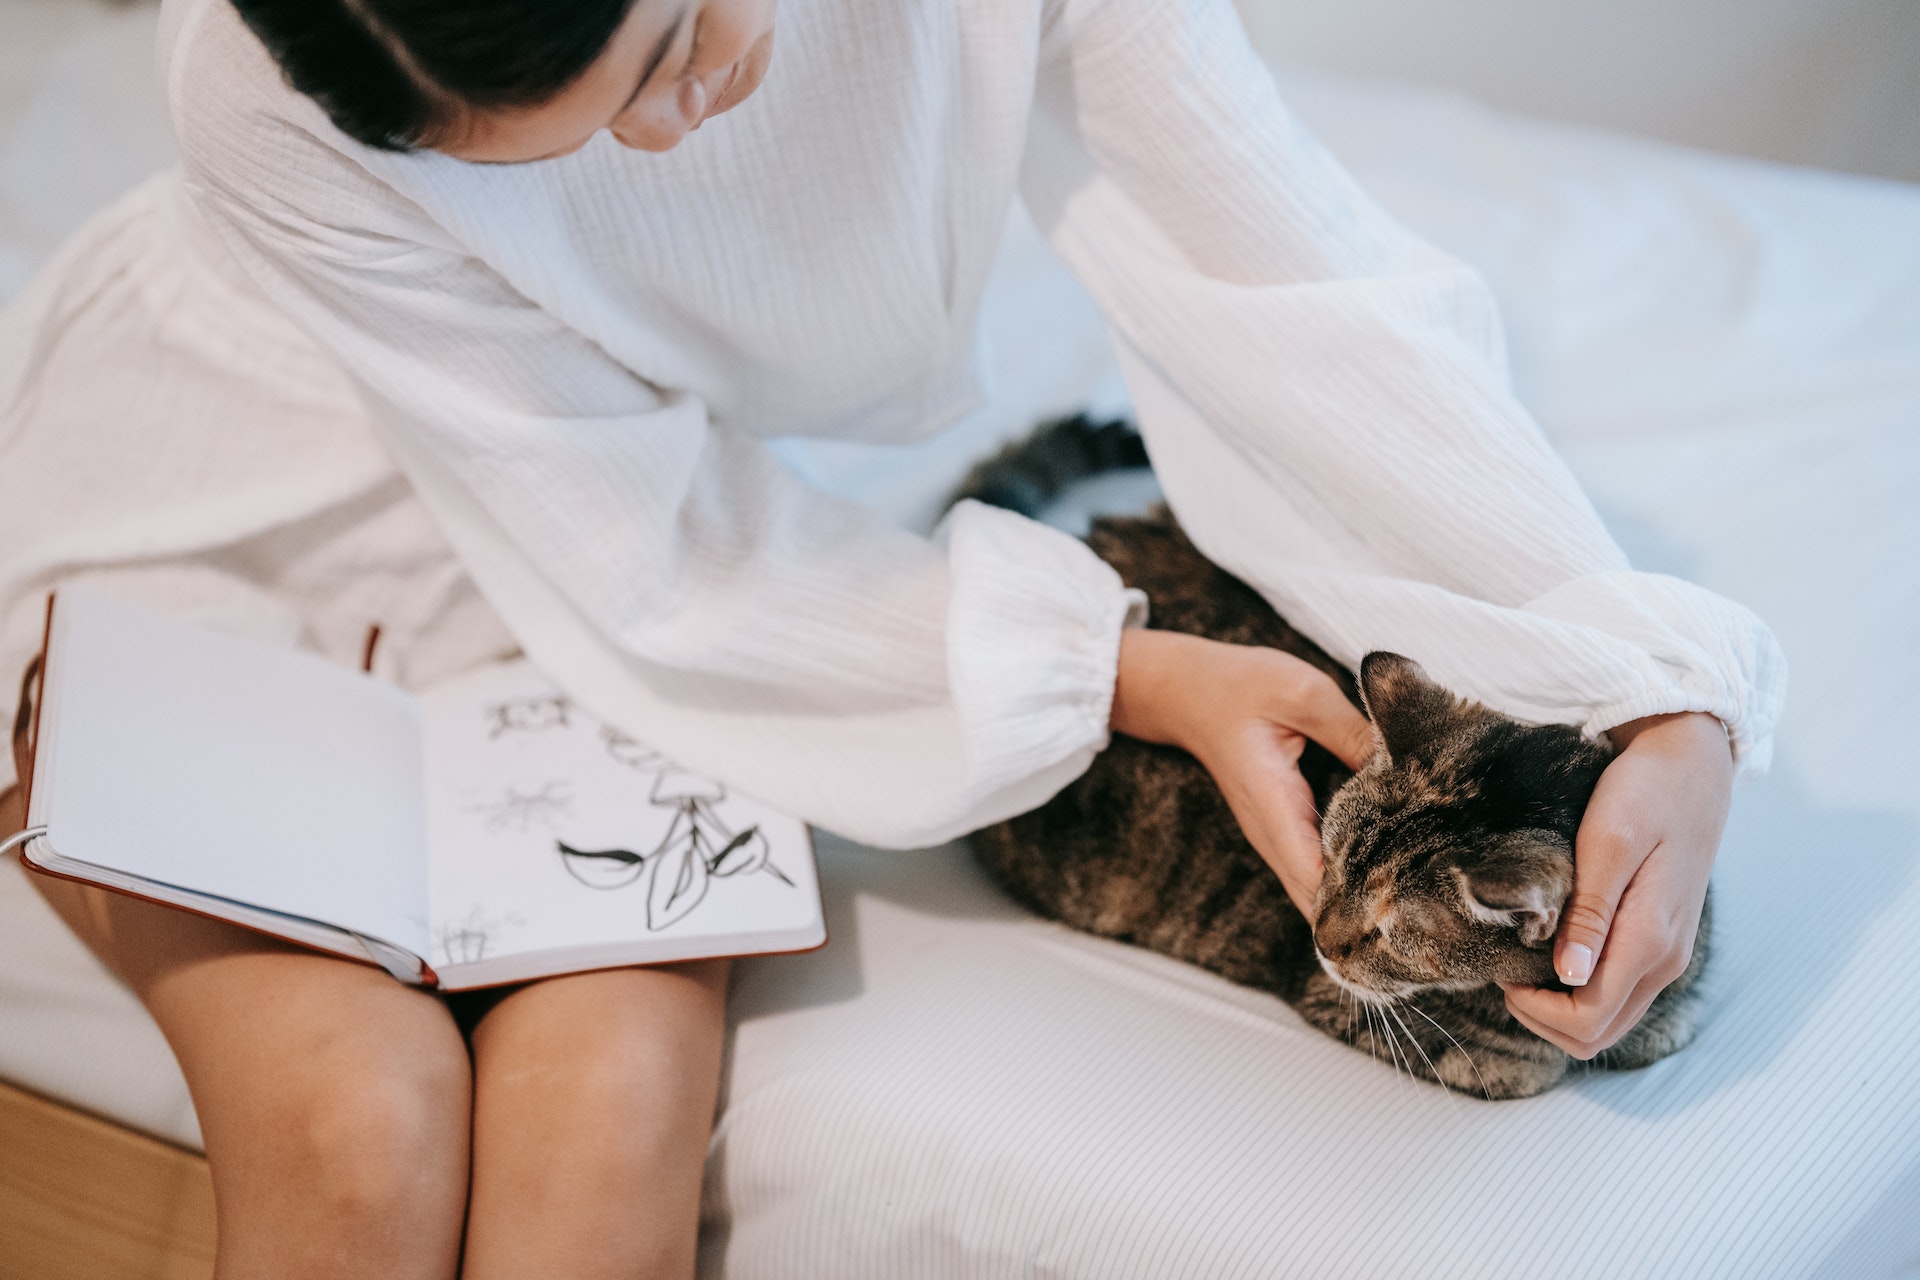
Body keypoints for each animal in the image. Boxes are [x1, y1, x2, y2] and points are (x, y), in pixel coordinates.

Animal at [960, 420, 1712, 1105]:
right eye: (1330, 865)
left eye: (1392, 934)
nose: (1319, 940)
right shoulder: (1357, 1006)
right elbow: (1508, 1061)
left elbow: (1669, 1019)